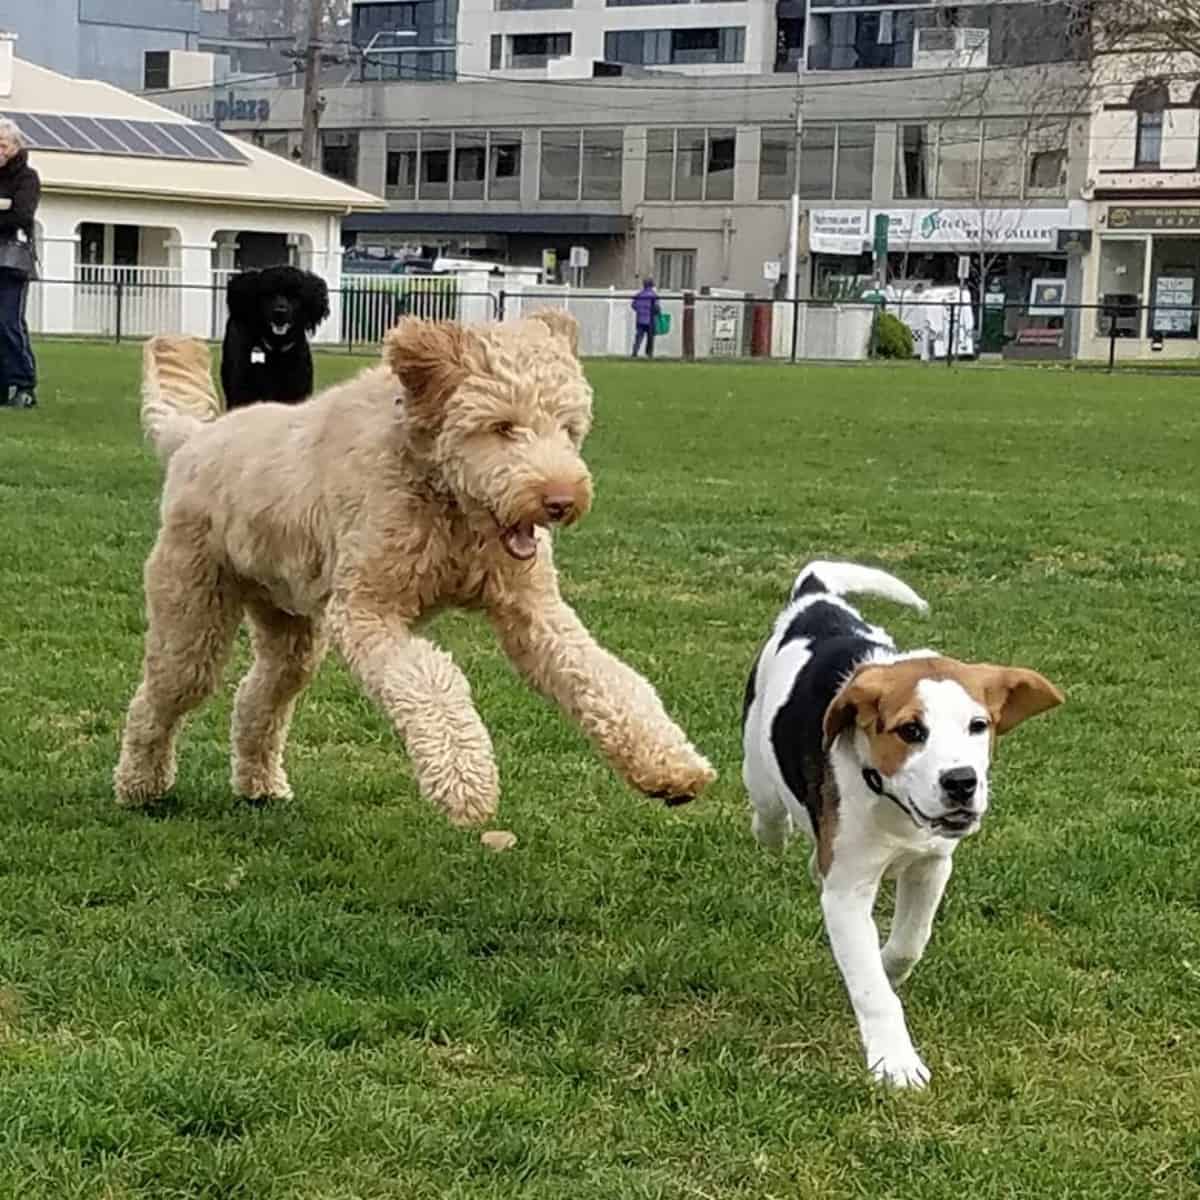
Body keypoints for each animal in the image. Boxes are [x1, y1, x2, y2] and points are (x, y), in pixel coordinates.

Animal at [114, 309, 710, 825]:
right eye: (502, 427)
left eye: (568, 427)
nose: (561, 500)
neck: (446, 502)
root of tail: (194, 440)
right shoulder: (366, 611)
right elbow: (432, 679)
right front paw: (466, 782)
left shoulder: (534, 610)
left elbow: (604, 676)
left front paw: (670, 766)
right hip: (193, 609)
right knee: (160, 695)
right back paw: (140, 785)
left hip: (289, 627)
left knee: (258, 698)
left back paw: (259, 784)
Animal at [220, 265, 331, 410]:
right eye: (268, 295)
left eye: (294, 296)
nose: (280, 312)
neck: (276, 350)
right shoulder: (244, 392)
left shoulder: (296, 392)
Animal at [744, 561, 1065, 1089]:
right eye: (911, 731)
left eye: (979, 726)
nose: (961, 782)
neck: (892, 803)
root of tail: (817, 600)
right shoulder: (848, 890)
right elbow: (872, 989)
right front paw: (894, 1061)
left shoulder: (931, 865)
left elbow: (909, 944)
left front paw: (887, 965)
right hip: (758, 767)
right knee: (768, 814)